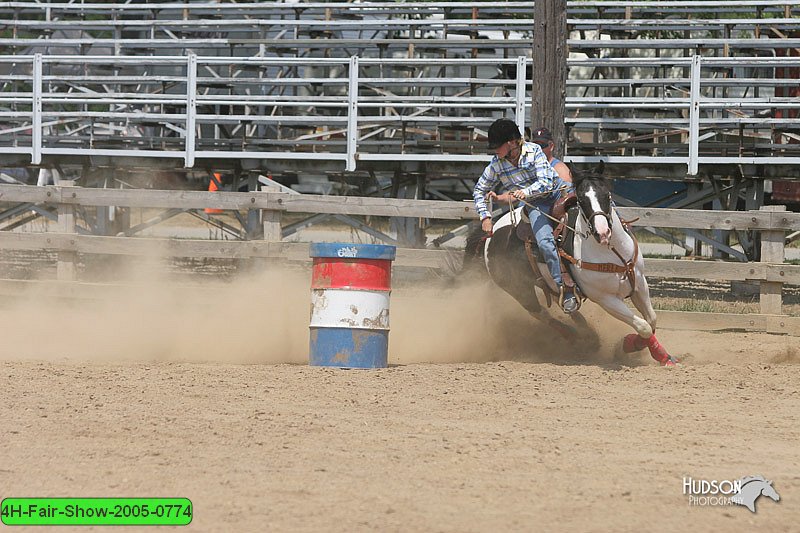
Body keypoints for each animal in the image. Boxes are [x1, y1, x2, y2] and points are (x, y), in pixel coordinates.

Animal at [468, 165, 680, 366]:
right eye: (582, 200)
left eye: (607, 194)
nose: (603, 233)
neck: (612, 252)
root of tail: (491, 232)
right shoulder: (605, 299)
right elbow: (643, 326)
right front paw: (627, 346)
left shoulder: (639, 284)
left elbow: (651, 320)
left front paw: (660, 355)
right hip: (518, 288)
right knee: (540, 313)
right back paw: (578, 337)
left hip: (550, 286)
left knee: (564, 304)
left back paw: (587, 333)